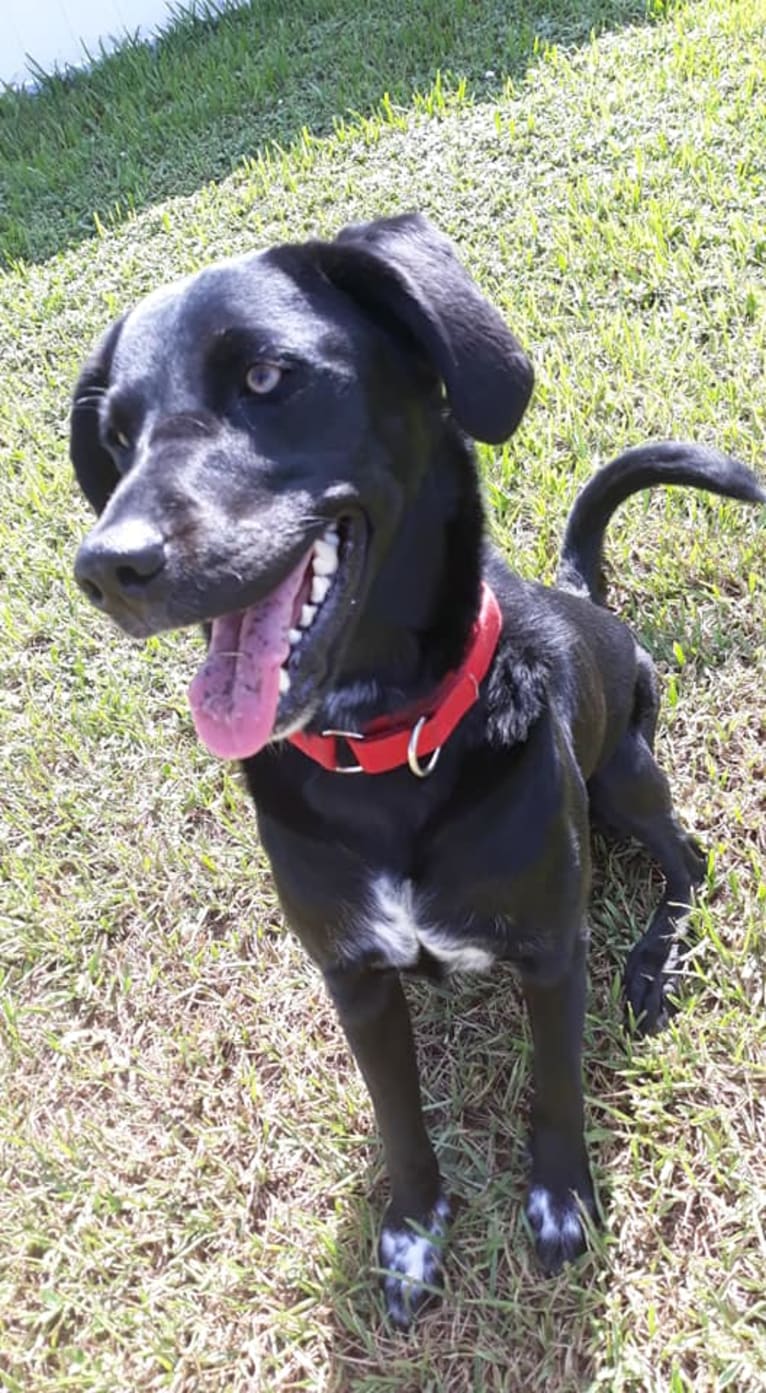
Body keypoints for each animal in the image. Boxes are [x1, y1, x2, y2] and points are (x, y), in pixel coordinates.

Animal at [68, 211, 763, 1320]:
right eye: (119, 435)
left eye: (266, 375)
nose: (107, 566)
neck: (384, 754)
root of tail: (583, 595)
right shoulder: (351, 974)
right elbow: (397, 1114)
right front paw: (409, 1234)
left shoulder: (550, 952)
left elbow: (556, 1089)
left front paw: (559, 1204)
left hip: (624, 776)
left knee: (690, 862)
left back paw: (655, 964)